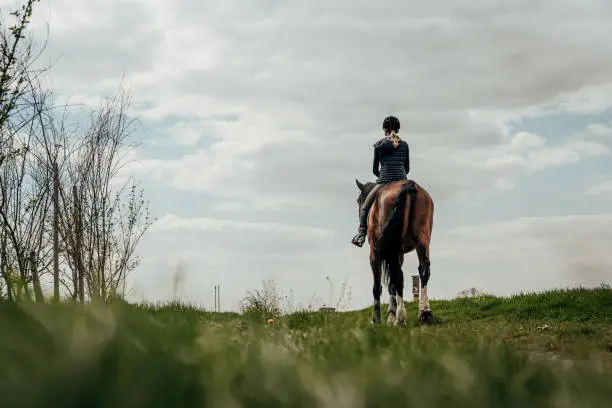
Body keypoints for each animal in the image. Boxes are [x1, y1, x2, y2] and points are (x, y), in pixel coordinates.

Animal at [354, 178, 436, 326]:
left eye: (359, 200)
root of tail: (409, 185)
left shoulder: (375, 252)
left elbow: (378, 286)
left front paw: (377, 319)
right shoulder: (399, 253)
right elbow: (392, 284)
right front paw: (390, 315)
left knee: (398, 275)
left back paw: (400, 318)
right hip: (422, 240)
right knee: (423, 270)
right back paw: (425, 313)